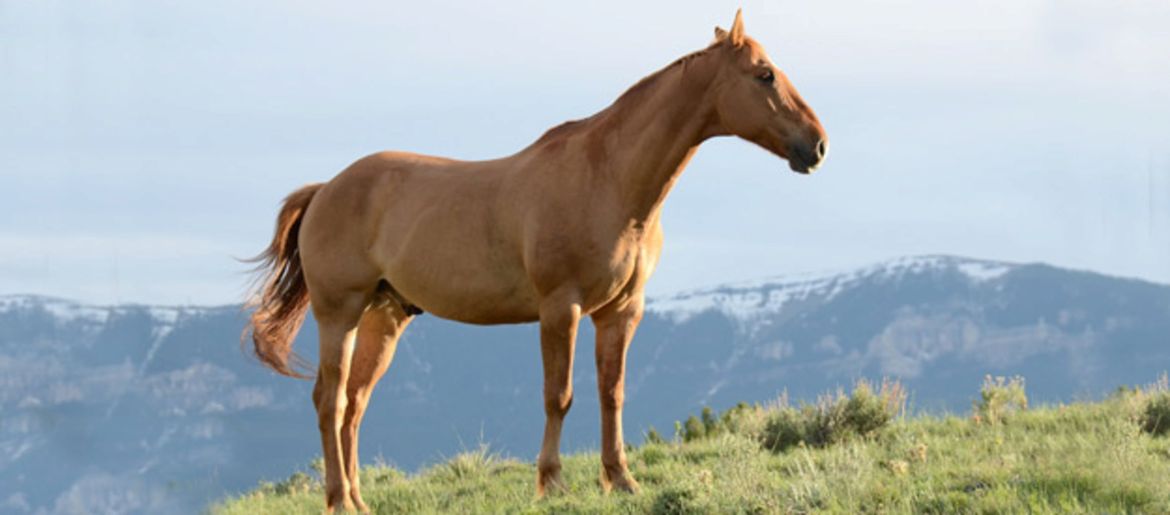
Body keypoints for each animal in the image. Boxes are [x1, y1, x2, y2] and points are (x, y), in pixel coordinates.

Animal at [244, 10, 833, 512]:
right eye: (764, 75)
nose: (818, 145)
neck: (609, 179)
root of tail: (326, 189)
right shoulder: (560, 308)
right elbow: (560, 396)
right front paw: (551, 483)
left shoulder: (622, 311)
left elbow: (612, 393)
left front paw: (621, 480)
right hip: (338, 313)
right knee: (330, 400)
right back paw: (338, 499)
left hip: (384, 318)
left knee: (355, 404)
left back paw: (358, 499)